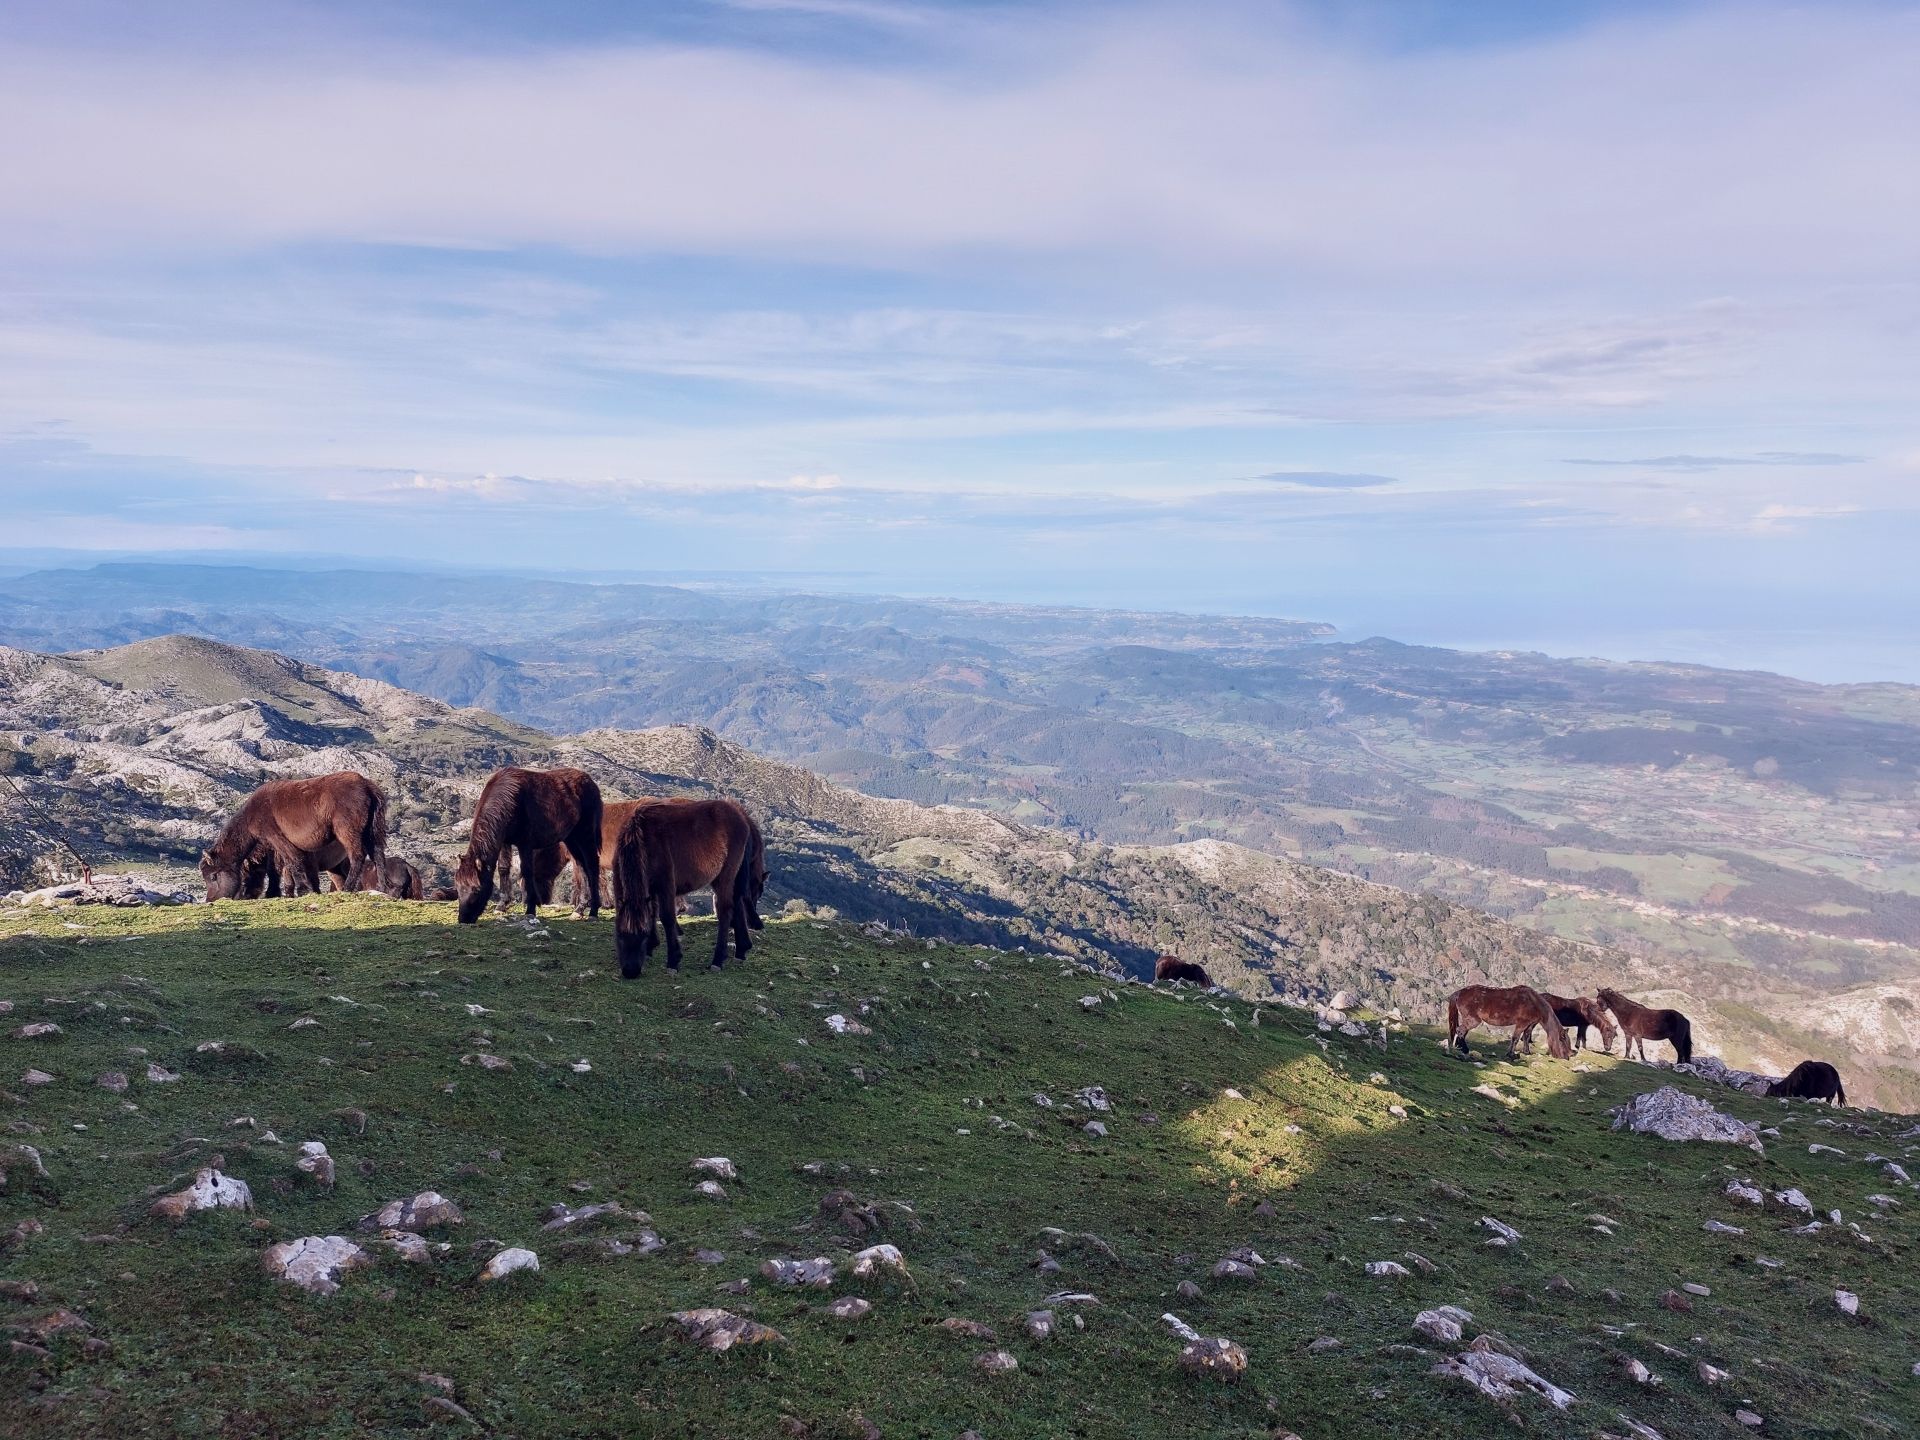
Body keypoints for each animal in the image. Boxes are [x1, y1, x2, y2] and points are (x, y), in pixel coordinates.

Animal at [200, 779, 387, 902]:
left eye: (213, 876)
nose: (210, 900)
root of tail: (367, 786)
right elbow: (282, 868)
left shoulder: (278, 839)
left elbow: (293, 863)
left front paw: (303, 890)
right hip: (371, 832)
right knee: (378, 856)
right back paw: (382, 887)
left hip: (348, 833)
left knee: (358, 856)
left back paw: (349, 888)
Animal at [453, 768, 602, 925]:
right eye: (458, 888)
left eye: (476, 889)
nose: (464, 919)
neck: (510, 799)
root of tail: (590, 782)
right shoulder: (504, 841)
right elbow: (503, 869)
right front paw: (502, 906)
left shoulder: (525, 844)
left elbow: (527, 871)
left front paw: (530, 909)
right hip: (571, 839)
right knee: (581, 866)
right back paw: (579, 909)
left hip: (585, 836)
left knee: (592, 866)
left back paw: (593, 911)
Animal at [618, 802, 760, 983]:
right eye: (620, 935)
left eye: (642, 935)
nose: (631, 971)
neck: (644, 837)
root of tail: (741, 816)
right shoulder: (650, 887)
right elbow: (651, 913)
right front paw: (651, 948)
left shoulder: (666, 885)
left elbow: (667, 918)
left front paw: (673, 961)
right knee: (738, 903)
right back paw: (741, 950)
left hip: (725, 877)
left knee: (725, 911)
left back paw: (718, 960)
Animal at [1443, 990, 1574, 1067]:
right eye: (1562, 1041)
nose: (1566, 1057)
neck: (1534, 1003)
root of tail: (1459, 993)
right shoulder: (1522, 1023)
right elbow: (1515, 1038)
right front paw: (1511, 1054)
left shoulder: (1529, 1024)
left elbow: (1526, 1037)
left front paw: (1526, 1052)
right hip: (1473, 1020)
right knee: (1460, 1031)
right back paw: (1465, 1050)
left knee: (1462, 1032)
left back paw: (1460, 1047)